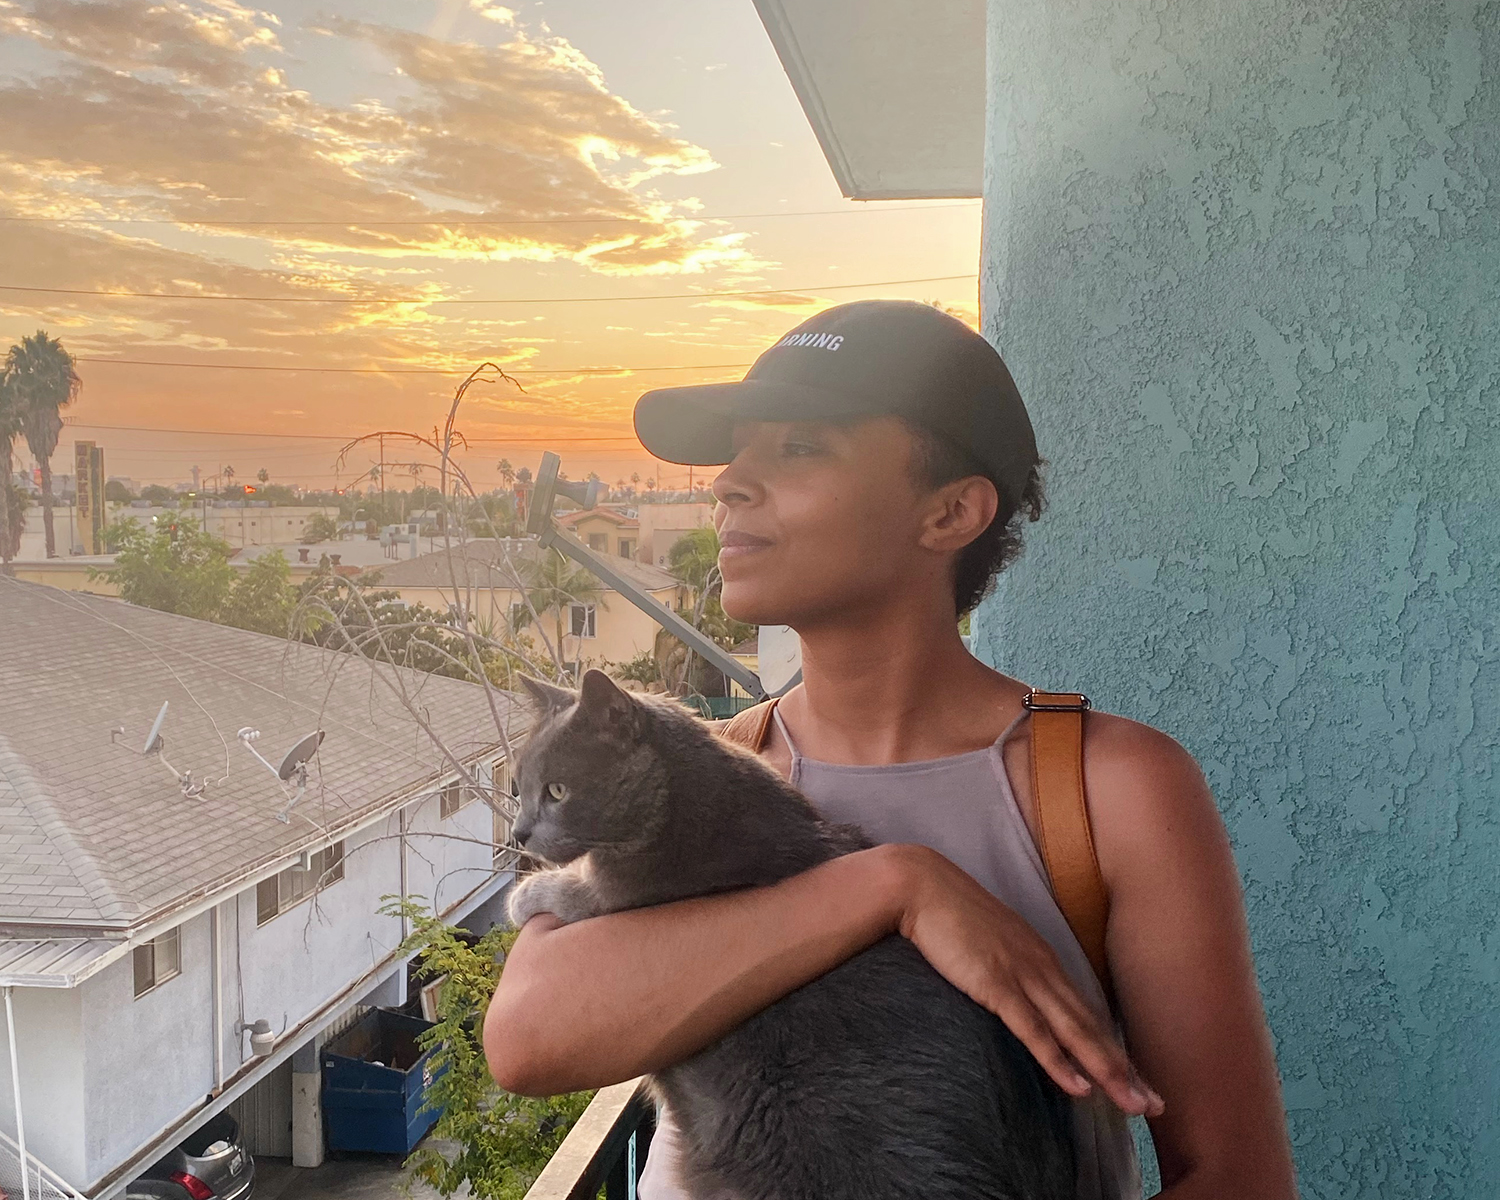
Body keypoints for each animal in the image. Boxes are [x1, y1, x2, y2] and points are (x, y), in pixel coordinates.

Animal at [510, 669, 1074, 1194]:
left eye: (556, 790)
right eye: (519, 789)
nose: (517, 833)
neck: (682, 798)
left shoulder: (621, 901)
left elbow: (572, 892)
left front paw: (524, 895)